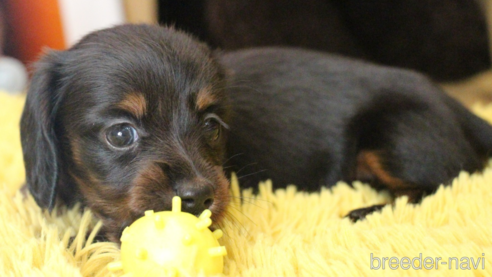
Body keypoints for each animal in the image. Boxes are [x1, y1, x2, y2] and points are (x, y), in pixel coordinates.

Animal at [22, 23, 492, 240]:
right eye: (120, 135)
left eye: (211, 125)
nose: (199, 198)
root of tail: (454, 104)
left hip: (396, 134)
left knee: (443, 183)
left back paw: (365, 211)